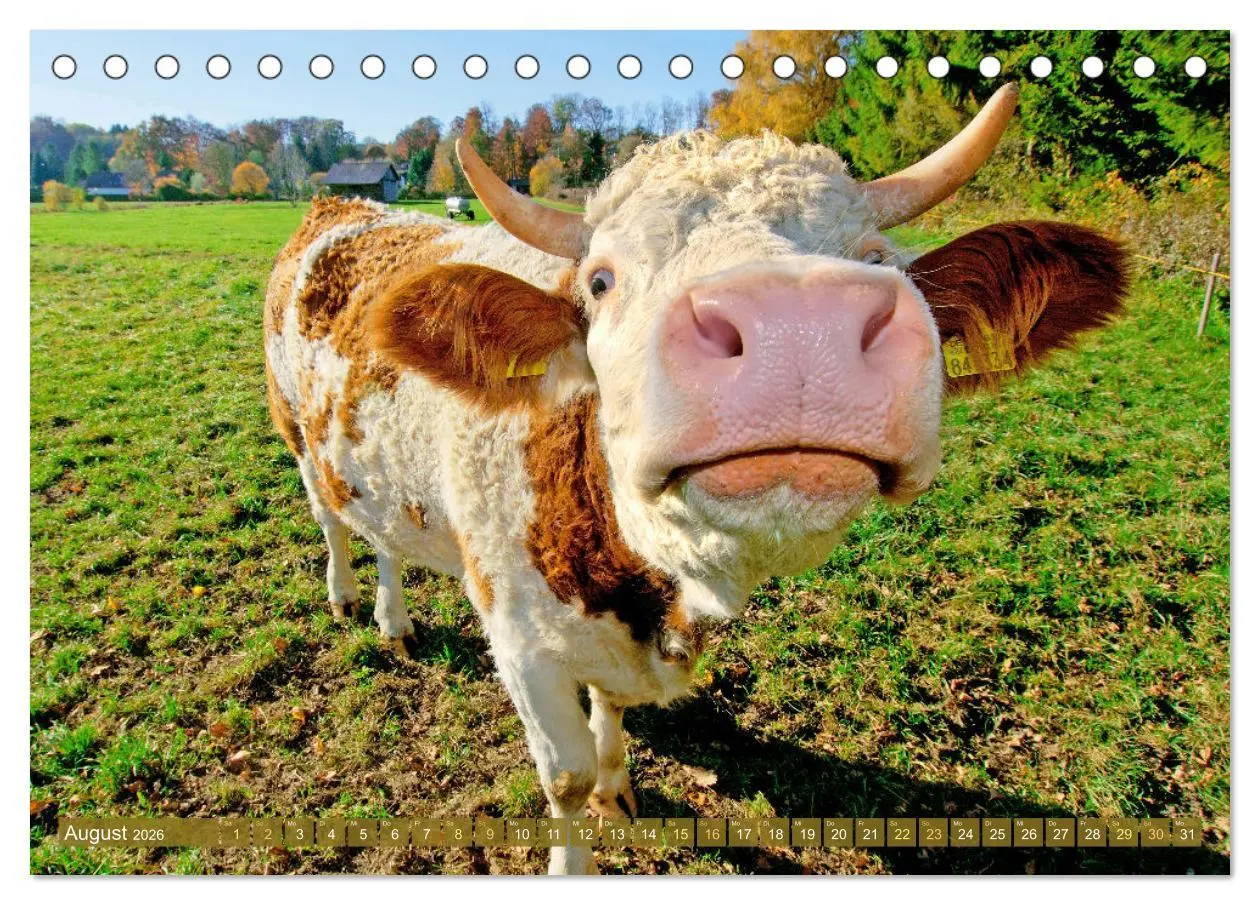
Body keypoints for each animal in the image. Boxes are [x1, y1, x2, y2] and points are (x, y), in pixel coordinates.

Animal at [263, 84, 1127, 874]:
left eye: (878, 259)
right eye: (601, 281)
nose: (795, 332)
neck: (639, 584)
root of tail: (336, 203)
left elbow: (609, 715)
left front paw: (617, 785)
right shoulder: (518, 636)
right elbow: (564, 777)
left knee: (381, 529)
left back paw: (393, 616)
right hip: (295, 430)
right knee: (333, 520)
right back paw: (352, 599)